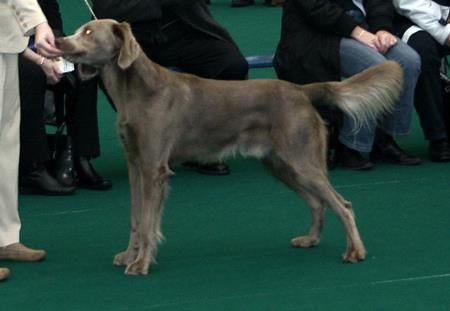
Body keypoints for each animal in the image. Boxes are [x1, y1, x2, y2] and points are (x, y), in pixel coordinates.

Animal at [56, 18, 404, 276]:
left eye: (88, 32)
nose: (58, 41)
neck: (137, 91)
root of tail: (300, 89)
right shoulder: (135, 163)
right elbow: (134, 217)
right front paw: (129, 256)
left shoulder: (154, 168)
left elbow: (146, 222)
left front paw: (141, 263)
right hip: (280, 164)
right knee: (318, 203)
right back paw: (310, 239)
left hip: (302, 160)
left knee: (342, 204)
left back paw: (355, 251)